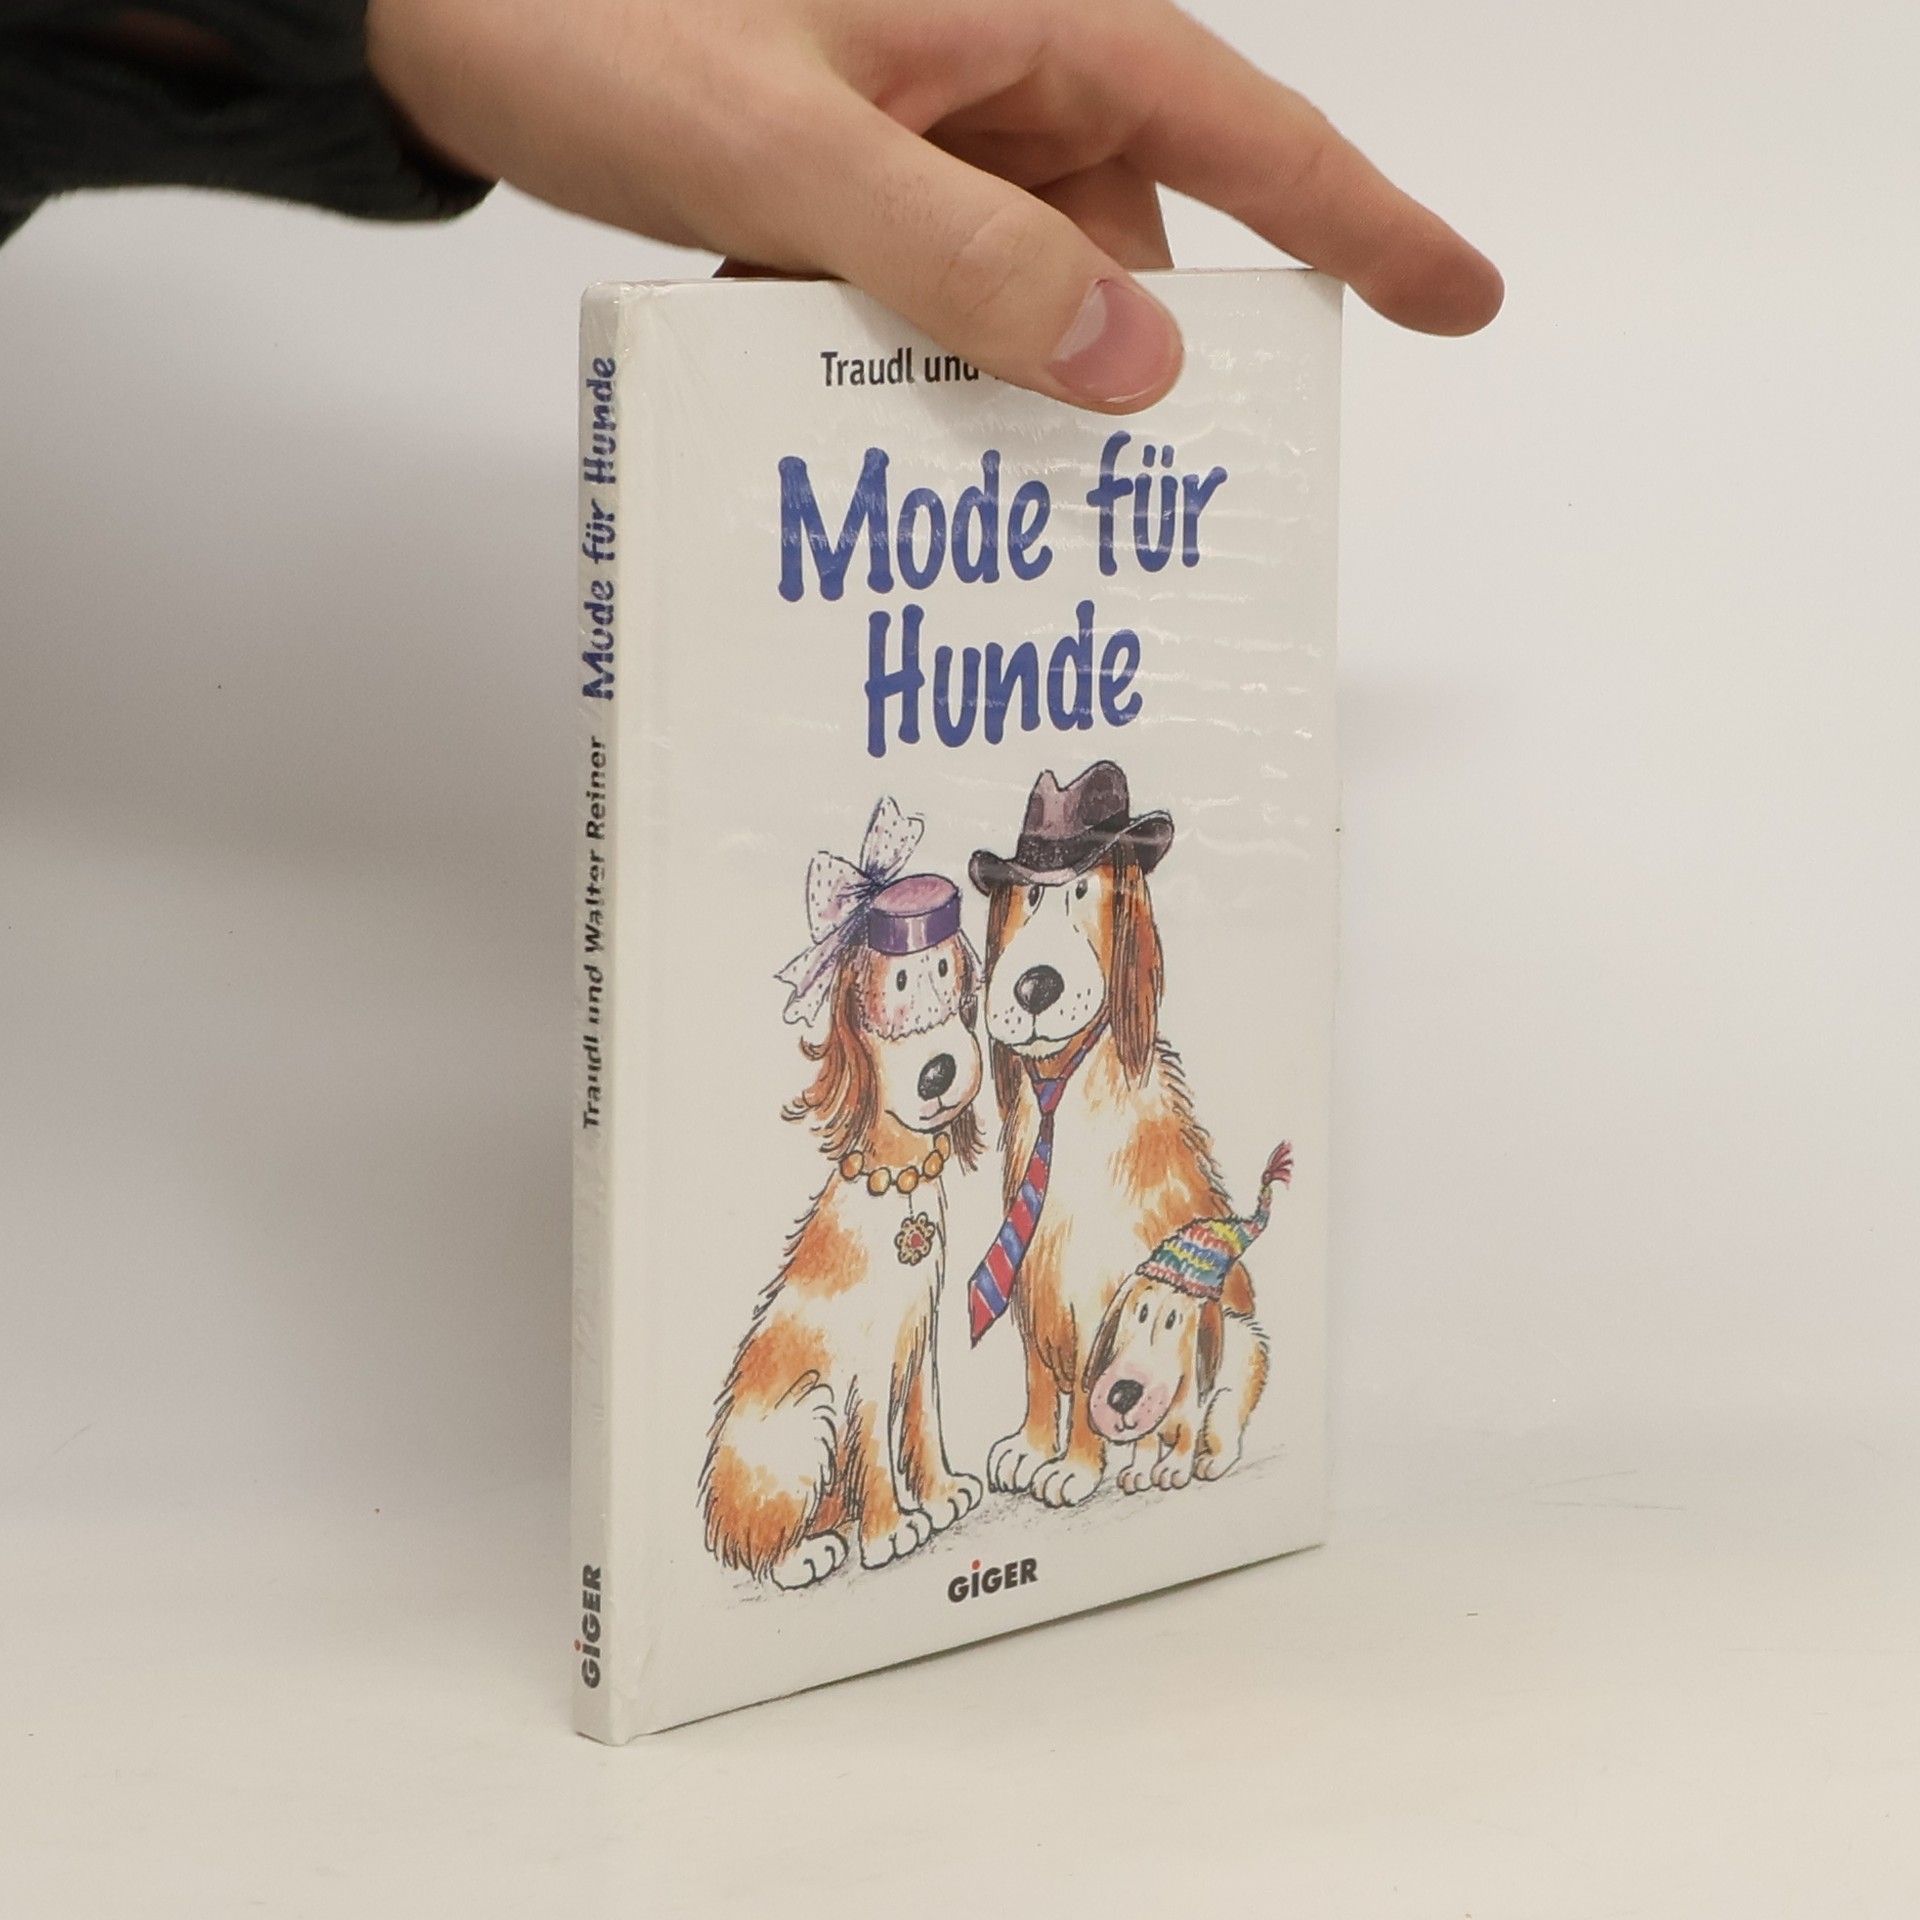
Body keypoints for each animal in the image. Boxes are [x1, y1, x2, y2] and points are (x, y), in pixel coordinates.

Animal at [702, 820, 985, 1589]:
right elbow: (878, 1455)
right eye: (893, 987)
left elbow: (922, 1424)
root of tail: (715, 1523)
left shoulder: (919, 1341)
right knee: (763, 1551)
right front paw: (892, 1531)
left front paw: (942, 1494)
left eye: (949, 978)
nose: (939, 1073)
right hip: (809, 1415)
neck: (897, 1182)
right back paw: (810, 1551)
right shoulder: (861, 1372)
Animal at [1083, 1144, 1288, 1491]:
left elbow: (1185, 1439)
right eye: (1140, 1312)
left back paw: (1210, 1463)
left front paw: (1171, 1472)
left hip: (1226, 1404)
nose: (1123, 1394)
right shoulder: (1149, 1431)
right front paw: (1137, 1474)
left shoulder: (1195, 1413)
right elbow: (1145, 1444)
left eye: (1173, 1321)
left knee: (1225, 1440)